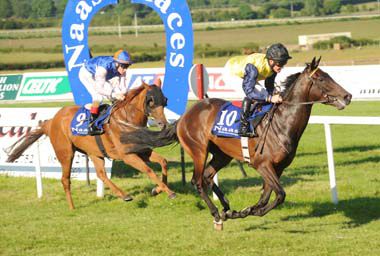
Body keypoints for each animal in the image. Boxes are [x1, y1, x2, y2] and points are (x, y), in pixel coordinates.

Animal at [6, 83, 175, 209]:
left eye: (165, 100)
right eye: (150, 101)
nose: (163, 124)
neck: (126, 121)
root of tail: (51, 121)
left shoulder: (142, 151)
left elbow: (163, 162)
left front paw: (157, 189)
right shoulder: (128, 156)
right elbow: (149, 170)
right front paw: (169, 192)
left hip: (94, 153)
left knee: (101, 174)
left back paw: (124, 195)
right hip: (66, 154)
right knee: (65, 179)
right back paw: (72, 207)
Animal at [122, 58, 354, 230]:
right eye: (322, 79)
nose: (348, 95)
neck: (281, 123)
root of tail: (185, 116)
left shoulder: (277, 168)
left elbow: (267, 196)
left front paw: (245, 211)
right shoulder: (262, 164)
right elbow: (280, 194)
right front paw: (251, 211)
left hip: (221, 154)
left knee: (207, 176)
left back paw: (226, 208)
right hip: (198, 150)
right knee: (198, 181)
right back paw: (217, 214)